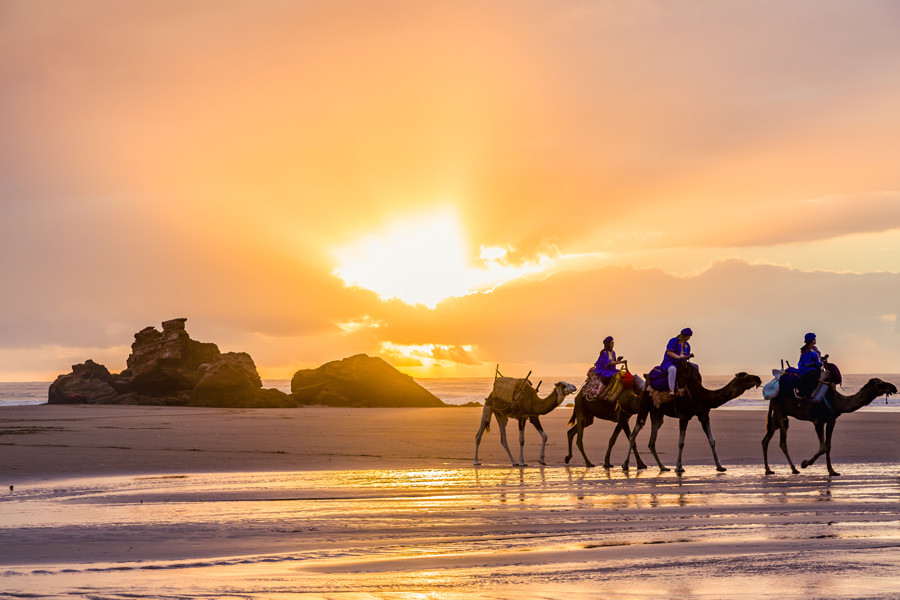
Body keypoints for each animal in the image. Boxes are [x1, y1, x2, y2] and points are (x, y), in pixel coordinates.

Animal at [624, 366, 760, 474]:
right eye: (746, 376)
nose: (758, 378)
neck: (703, 396)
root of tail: (646, 386)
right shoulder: (684, 415)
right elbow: (681, 442)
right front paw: (679, 467)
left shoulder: (704, 415)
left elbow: (712, 440)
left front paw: (720, 467)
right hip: (644, 404)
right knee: (635, 432)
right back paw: (625, 465)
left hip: (657, 412)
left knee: (652, 440)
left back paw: (663, 467)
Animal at [764, 378, 896, 476]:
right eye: (880, 384)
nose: (894, 387)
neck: (837, 401)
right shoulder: (818, 421)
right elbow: (823, 447)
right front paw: (804, 463)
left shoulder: (831, 420)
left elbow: (828, 446)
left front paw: (832, 471)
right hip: (780, 410)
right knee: (782, 441)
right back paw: (794, 469)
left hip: (777, 413)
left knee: (766, 439)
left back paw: (768, 470)